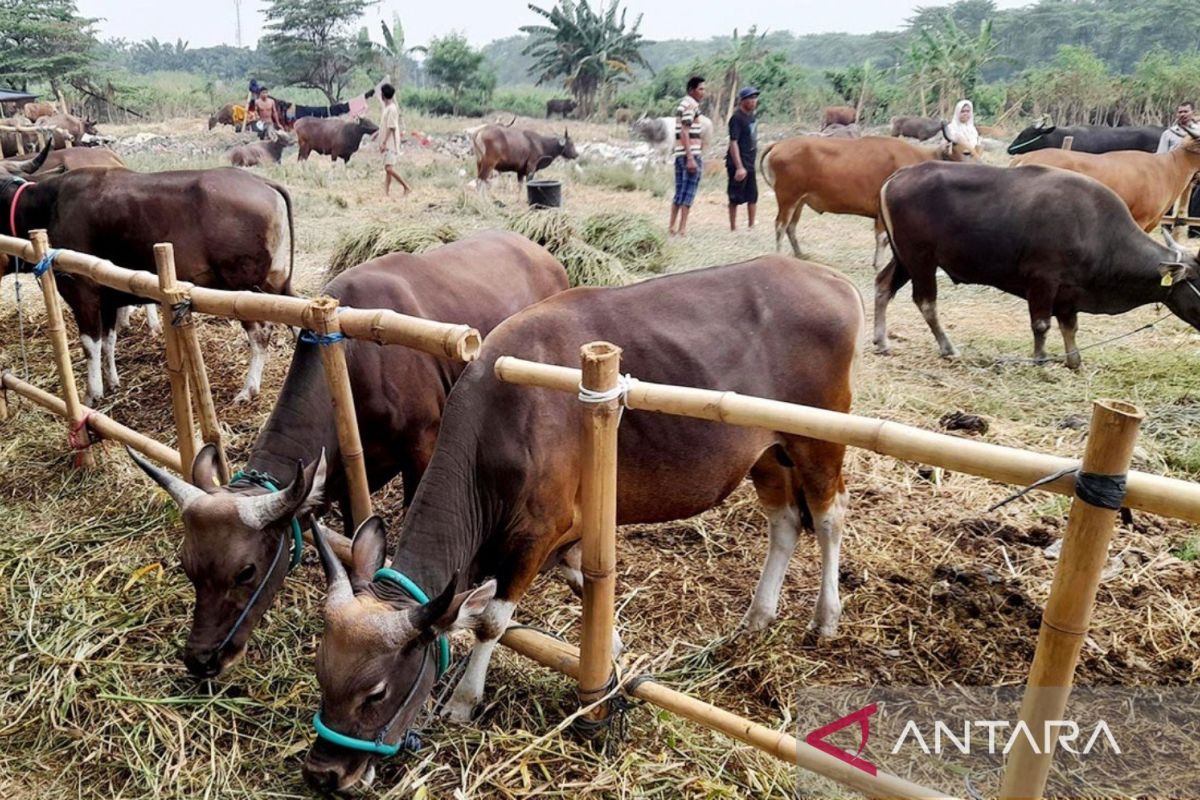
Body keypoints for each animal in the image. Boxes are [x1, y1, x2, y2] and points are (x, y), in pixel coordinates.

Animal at [126, 232, 566, 681]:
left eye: (245, 571)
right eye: (187, 564)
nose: (201, 659)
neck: (358, 363)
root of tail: (538, 252)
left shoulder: (422, 450)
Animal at [300, 257, 864, 796]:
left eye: (376, 691)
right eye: (321, 668)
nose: (324, 774)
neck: (502, 421)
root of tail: (833, 280)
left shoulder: (536, 533)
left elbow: (491, 621)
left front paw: (462, 700)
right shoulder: (568, 536)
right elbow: (578, 583)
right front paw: (611, 653)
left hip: (818, 440)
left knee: (830, 515)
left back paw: (826, 617)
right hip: (767, 452)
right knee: (785, 520)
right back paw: (757, 617)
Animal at [763, 134, 979, 266]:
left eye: (978, 150)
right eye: (966, 152)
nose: (981, 166)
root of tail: (780, 145)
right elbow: (883, 238)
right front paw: (880, 263)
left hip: (799, 201)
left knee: (791, 226)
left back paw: (800, 255)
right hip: (787, 197)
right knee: (780, 225)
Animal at [873, 161, 1200, 367]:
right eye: (1199, 281)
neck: (1097, 230)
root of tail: (899, 175)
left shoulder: (1069, 292)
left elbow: (1070, 326)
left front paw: (1074, 360)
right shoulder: (1043, 280)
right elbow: (1042, 324)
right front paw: (1040, 359)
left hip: (903, 258)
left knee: (883, 285)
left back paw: (881, 340)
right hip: (921, 258)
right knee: (926, 301)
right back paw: (947, 347)